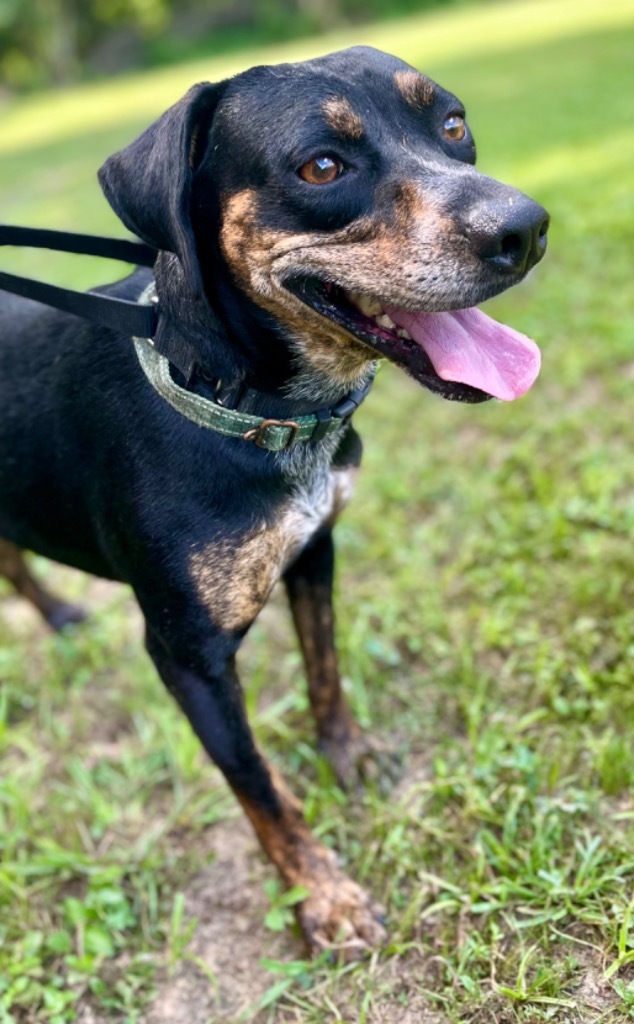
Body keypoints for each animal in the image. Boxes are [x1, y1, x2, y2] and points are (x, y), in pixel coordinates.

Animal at [0, 46, 544, 958]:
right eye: (321, 167)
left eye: (453, 125)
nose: (526, 228)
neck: (245, 403)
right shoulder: (188, 656)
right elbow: (261, 790)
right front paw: (323, 896)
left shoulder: (316, 548)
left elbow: (326, 671)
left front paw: (348, 755)